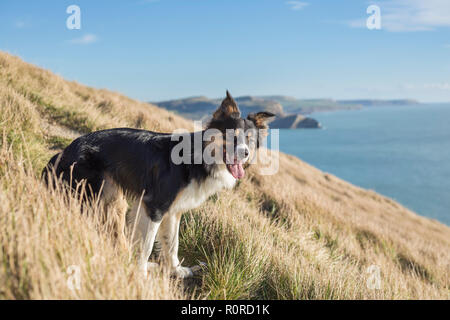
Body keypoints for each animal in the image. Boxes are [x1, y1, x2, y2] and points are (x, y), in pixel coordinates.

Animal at [43, 90, 274, 278]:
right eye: (232, 136)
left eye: (250, 139)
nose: (245, 153)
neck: (198, 159)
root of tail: (63, 152)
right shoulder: (154, 206)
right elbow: (146, 245)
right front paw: (141, 275)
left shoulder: (173, 211)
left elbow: (172, 243)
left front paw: (176, 271)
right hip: (91, 195)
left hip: (114, 199)